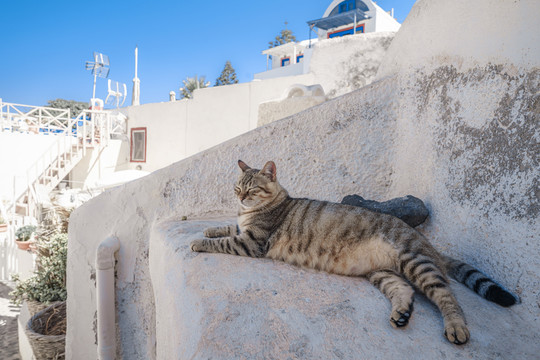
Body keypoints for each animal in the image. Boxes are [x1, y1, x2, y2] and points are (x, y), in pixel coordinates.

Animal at [189, 161, 516, 346]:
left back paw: (456, 327)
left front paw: (199, 242)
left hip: (415, 261)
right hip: (383, 273)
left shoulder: (252, 242)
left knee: (447, 295)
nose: (241, 198)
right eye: (237, 188)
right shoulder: (242, 229)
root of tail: (427, 243)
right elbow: (226, 227)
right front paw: (209, 229)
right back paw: (401, 314)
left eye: (253, 189)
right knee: (405, 291)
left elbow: (225, 241)